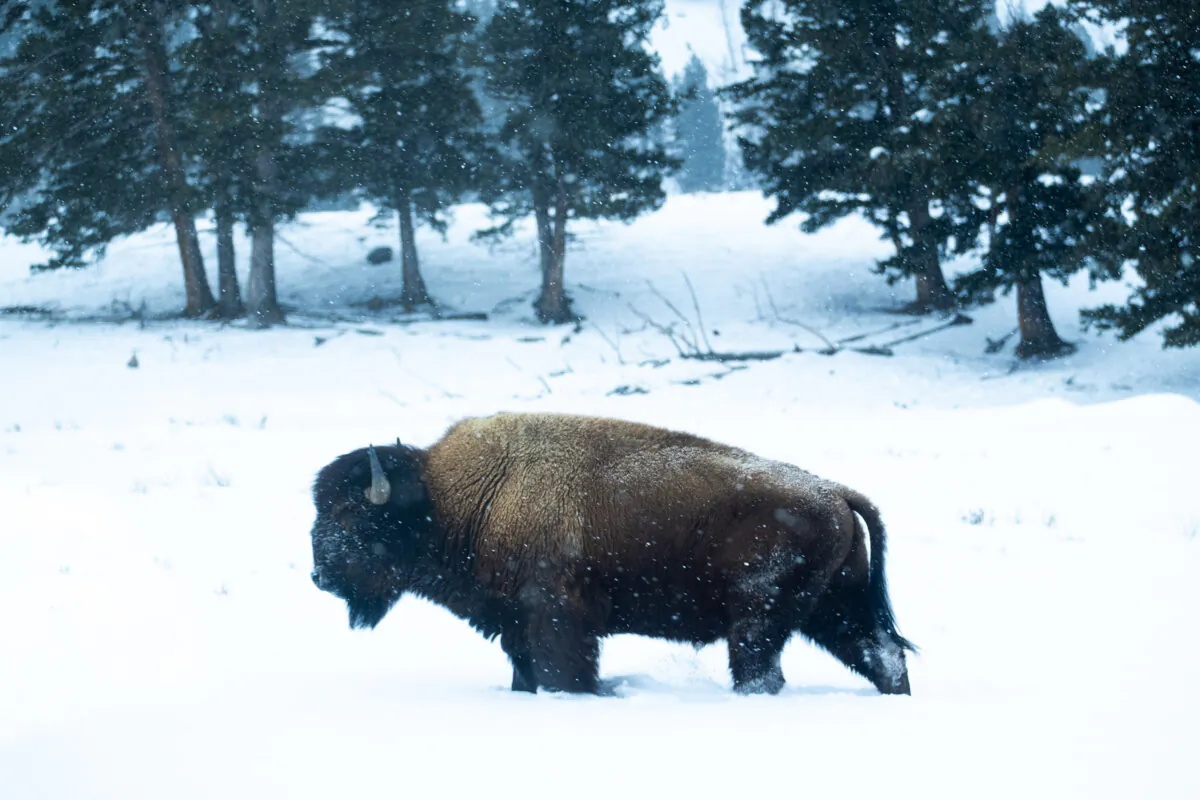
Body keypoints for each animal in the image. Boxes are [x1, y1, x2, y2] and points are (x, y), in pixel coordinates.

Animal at [309, 412, 914, 695]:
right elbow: (525, 671)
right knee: (881, 653)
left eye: (352, 515)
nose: (318, 575)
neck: (456, 497)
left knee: (762, 671)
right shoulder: (514, 623)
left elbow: (564, 671)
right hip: (832, 608)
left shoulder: (555, 616)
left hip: (759, 618)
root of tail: (836, 493)